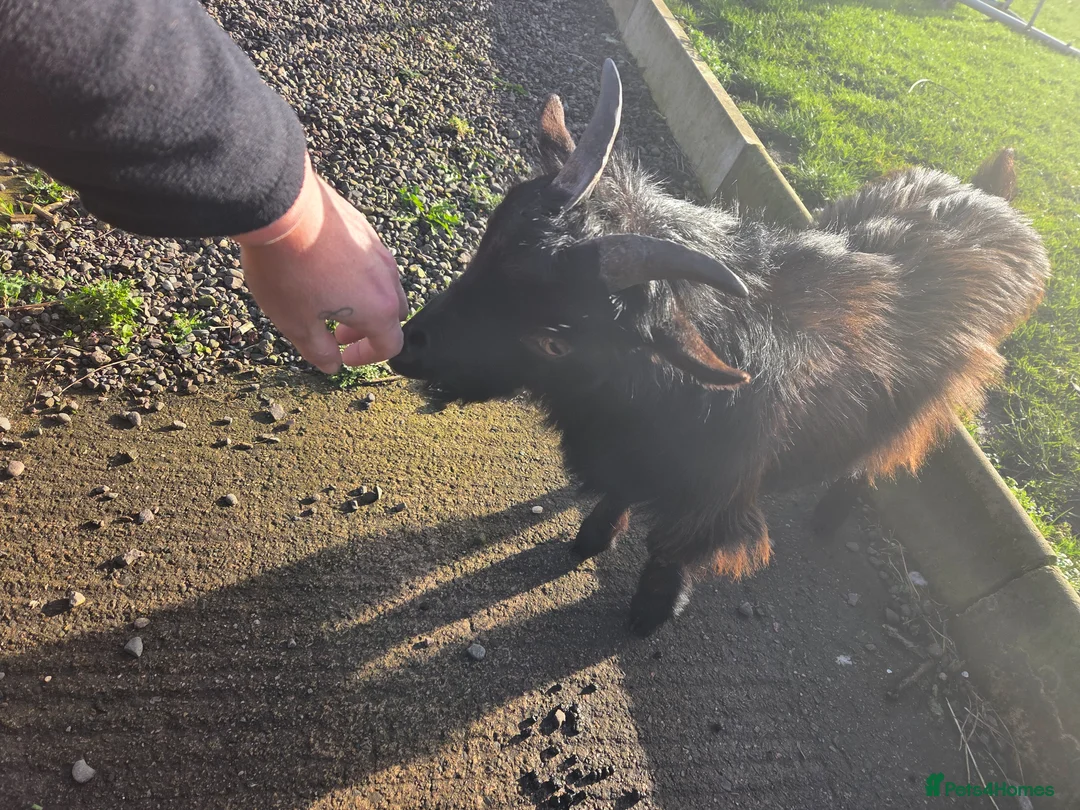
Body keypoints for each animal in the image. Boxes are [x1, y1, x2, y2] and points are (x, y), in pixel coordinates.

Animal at [388, 59, 1051, 636]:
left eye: (553, 338)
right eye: (489, 242)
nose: (406, 348)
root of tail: (995, 201)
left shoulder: (715, 490)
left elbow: (672, 551)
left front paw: (650, 613)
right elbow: (618, 492)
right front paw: (591, 538)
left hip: (929, 396)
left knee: (884, 451)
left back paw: (830, 513)